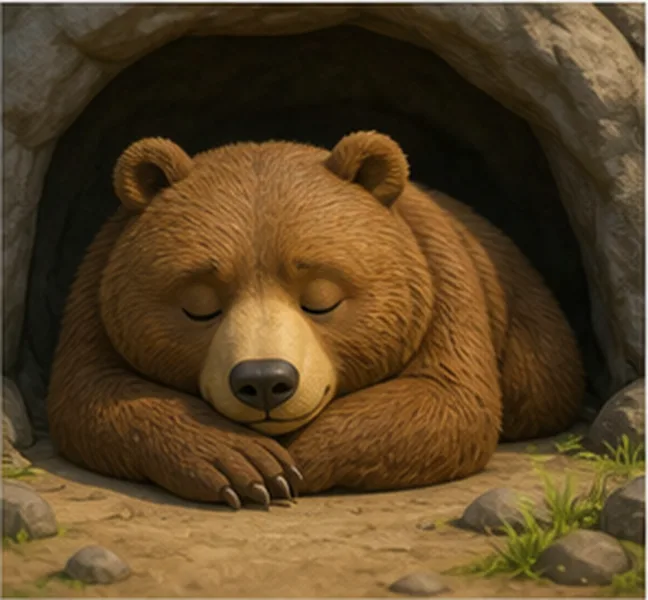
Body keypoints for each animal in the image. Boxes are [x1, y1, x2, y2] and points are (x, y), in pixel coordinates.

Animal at [47, 131, 584, 509]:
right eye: (199, 304)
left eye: (322, 300)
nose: (265, 381)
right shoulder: (96, 285)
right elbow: (90, 395)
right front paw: (243, 461)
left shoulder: (443, 281)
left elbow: (449, 402)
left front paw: (288, 463)